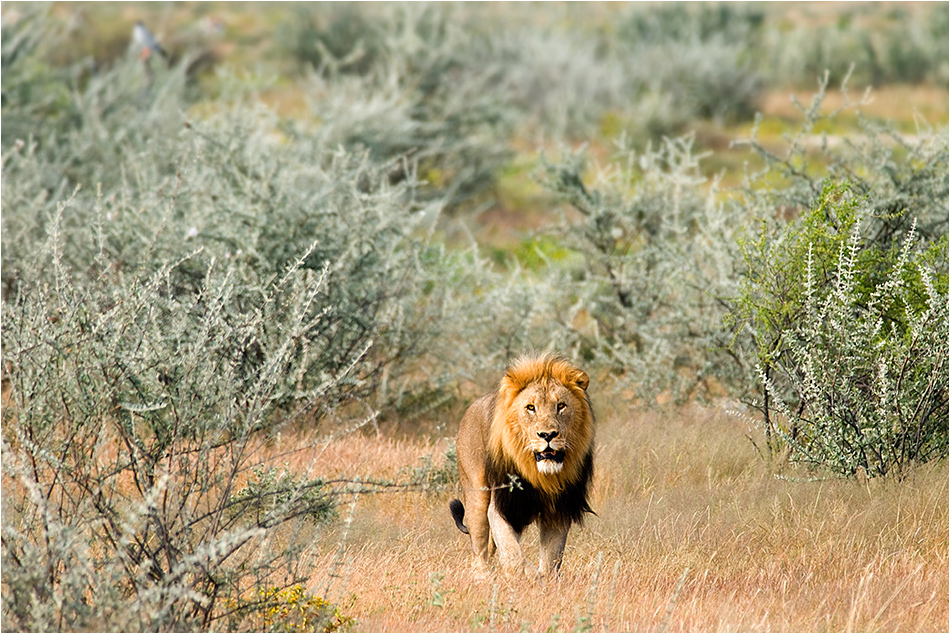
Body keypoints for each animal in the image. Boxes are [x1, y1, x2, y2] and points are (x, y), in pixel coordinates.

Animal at [448, 354, 596, 576]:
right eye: (530, 407)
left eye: (561, 406)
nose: (547, 435)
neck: (540, 474)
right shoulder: (503, 505)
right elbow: (512, 555)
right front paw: (528, 575)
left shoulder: (559, 509)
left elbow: (551, 558)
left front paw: (543, 578)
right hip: (476, 494)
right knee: (480, 550)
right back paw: (483, 576)